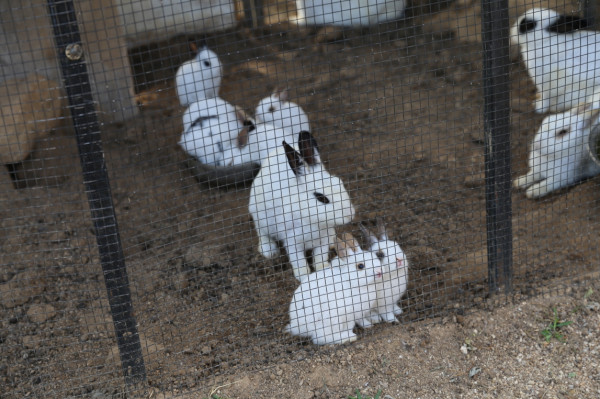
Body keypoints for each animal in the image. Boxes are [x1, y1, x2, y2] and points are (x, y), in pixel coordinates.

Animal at [248, 132, 356, 282]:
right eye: (321, 198)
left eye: (339, 182)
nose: (350, 214)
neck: (312, 221)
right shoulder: (292, 241)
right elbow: (298, 261)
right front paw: (304, 276)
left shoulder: (323, 240)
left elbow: (319, 257)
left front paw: (324, 269)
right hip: (260, 217)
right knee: (262, 233)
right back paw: (269, 251)